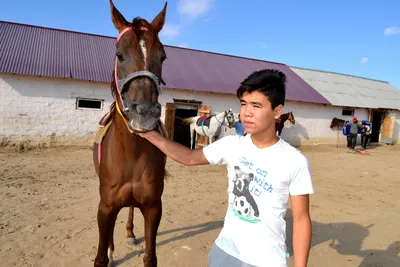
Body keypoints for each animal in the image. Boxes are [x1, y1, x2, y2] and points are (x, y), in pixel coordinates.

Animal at [93, 1, 168, 266]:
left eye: (162, 57)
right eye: (120, 55)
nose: (145, 113)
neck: (131, 153)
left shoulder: (154, 208)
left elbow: (150, 257)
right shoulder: (105, 207)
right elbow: (100, 258)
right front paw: (108, 252)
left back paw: (130, 233)